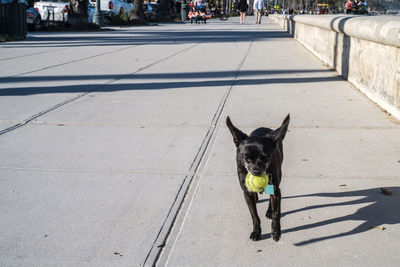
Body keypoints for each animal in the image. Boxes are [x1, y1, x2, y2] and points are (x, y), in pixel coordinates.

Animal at [227, 115, 290, 243]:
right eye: (246, 158)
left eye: (266, 157)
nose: (256, 171)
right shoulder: (246, 193)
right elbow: (254, 215)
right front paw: (256, 232)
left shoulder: (276, 191)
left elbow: (276, 213)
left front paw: (276, 231)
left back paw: (269, 211)